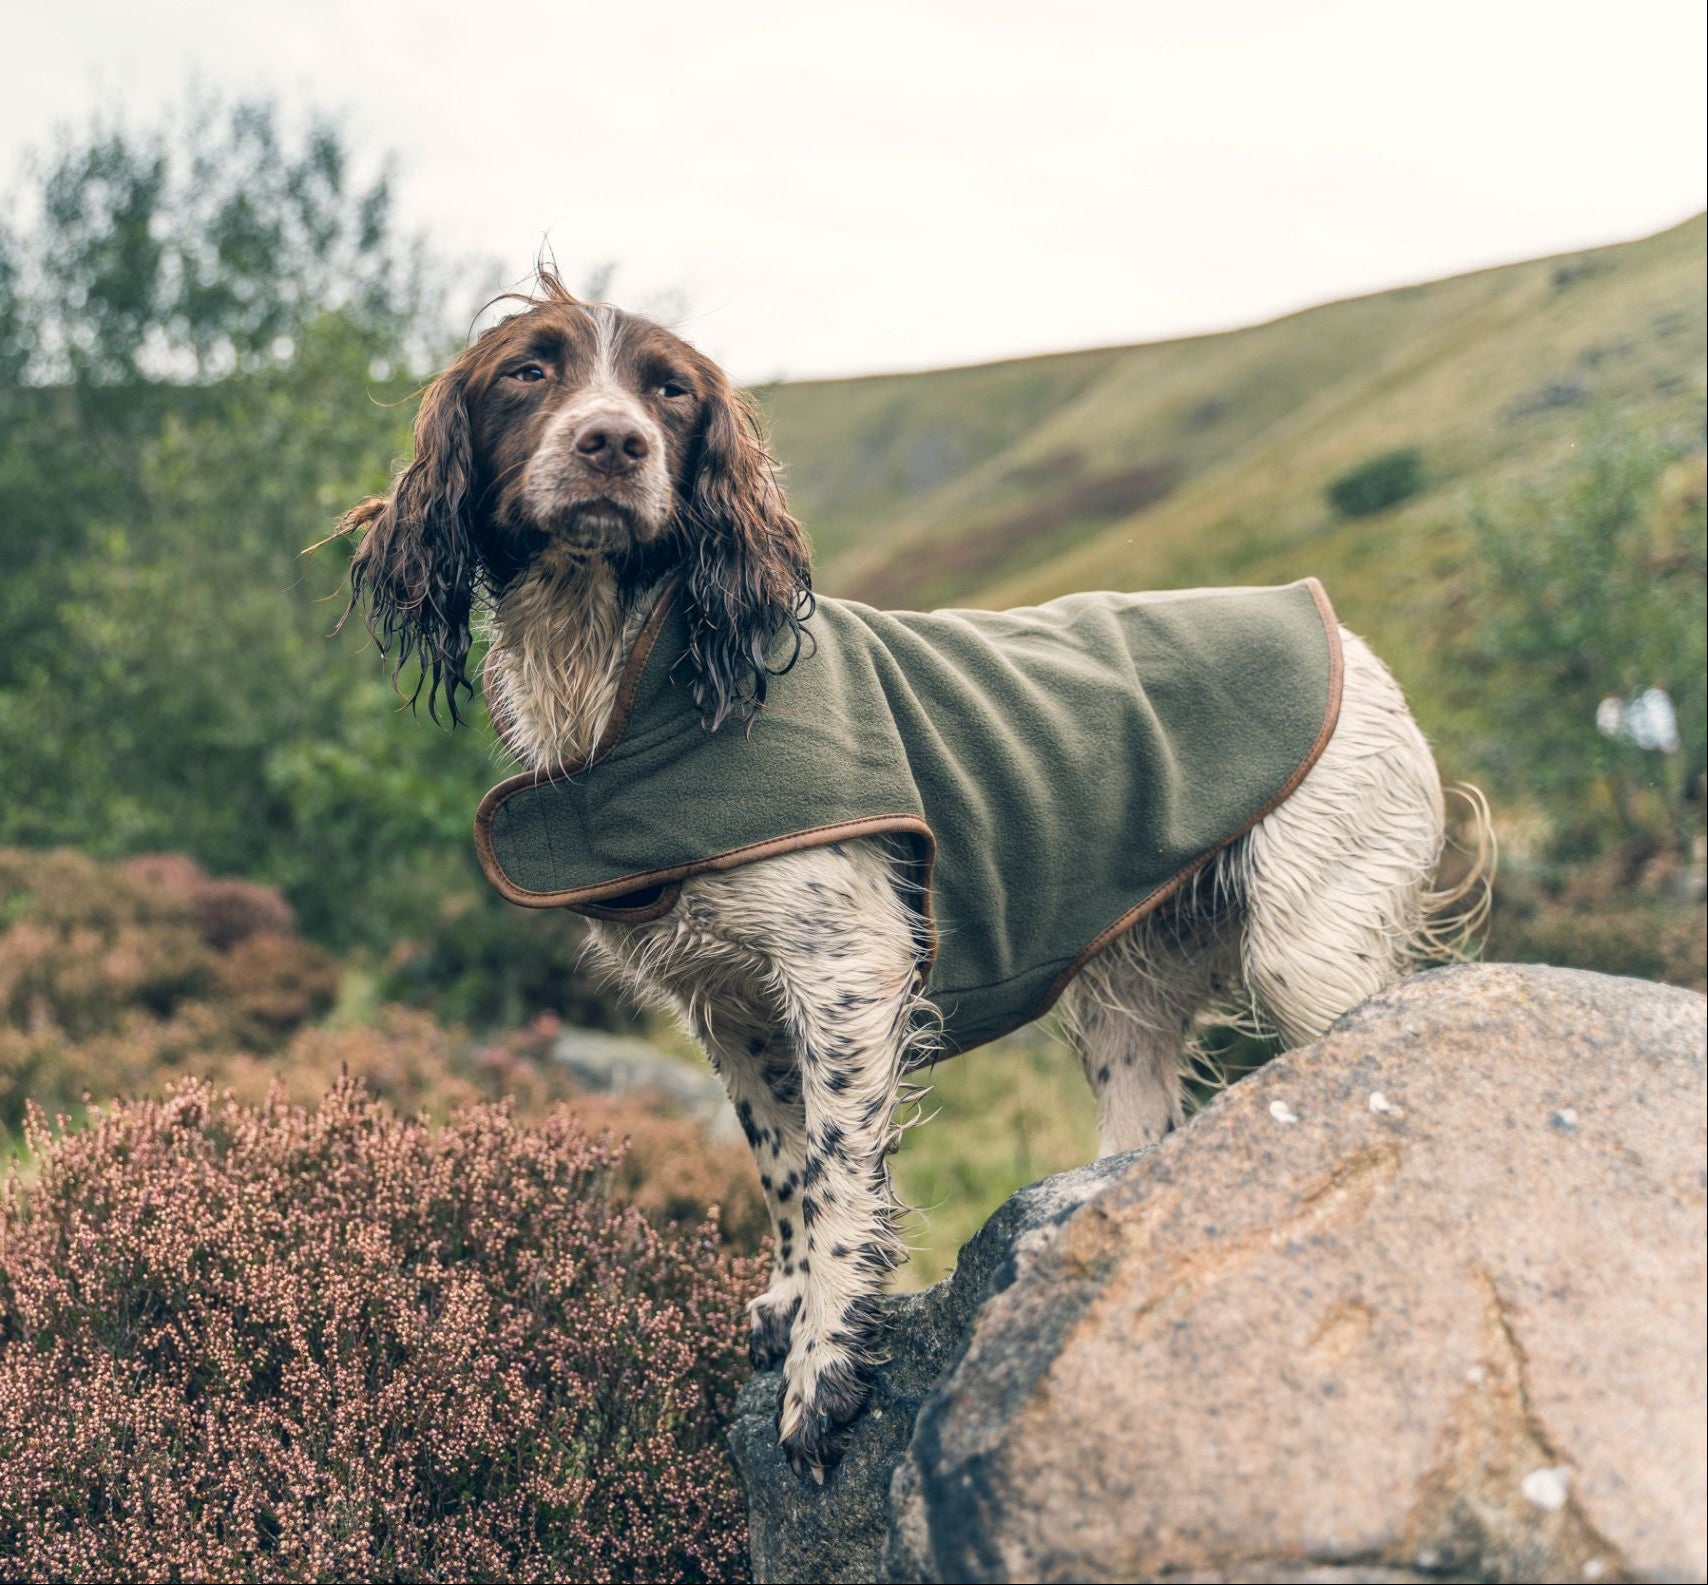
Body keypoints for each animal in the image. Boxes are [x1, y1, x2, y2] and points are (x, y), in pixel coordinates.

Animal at [336, 274, 1482, 1475]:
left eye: (671, 392)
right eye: (528, 372)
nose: (613, 443)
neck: (639, 673)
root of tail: (1345, 632)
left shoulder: (845, 971)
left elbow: (840, 1176)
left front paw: (825, 1366)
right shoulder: (730, 1002)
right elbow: (784, 1164)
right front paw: (789, 1303)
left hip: (1312, 951)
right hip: (1132, 996)